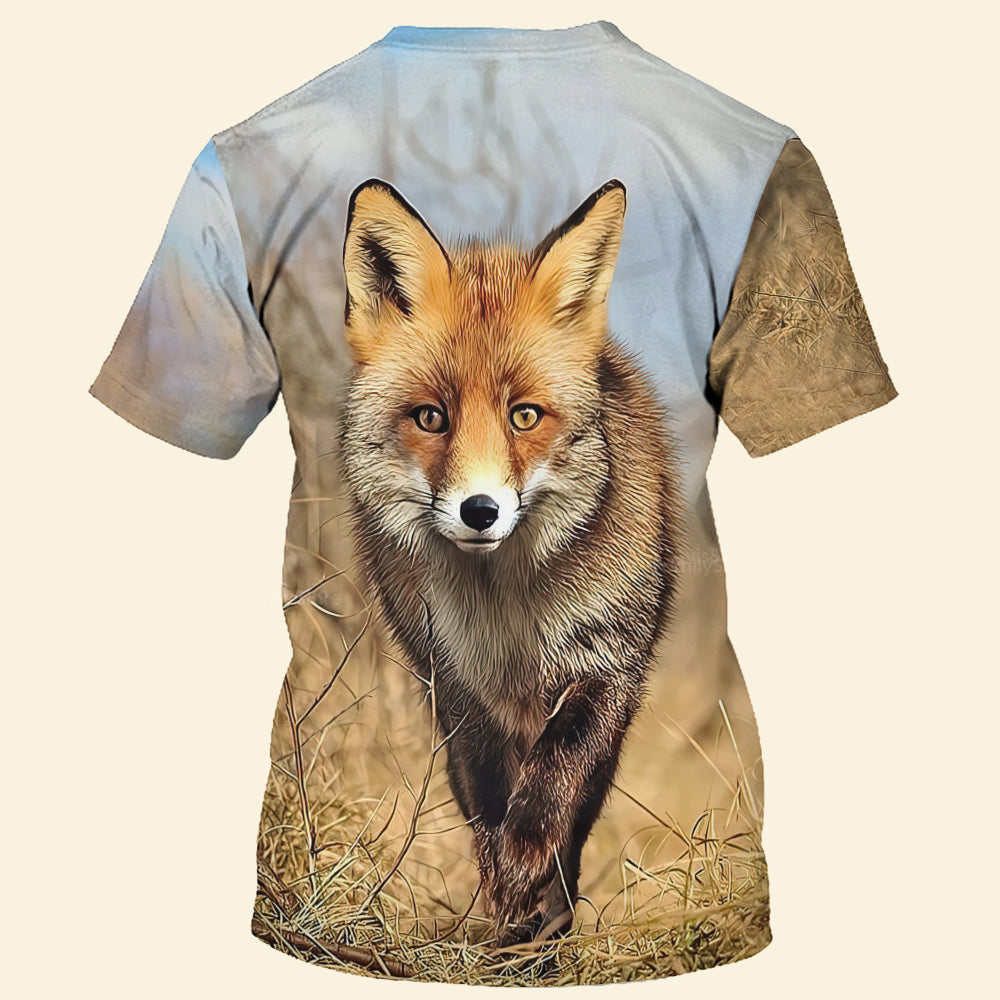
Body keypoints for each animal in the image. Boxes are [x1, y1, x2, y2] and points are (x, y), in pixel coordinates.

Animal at [337, 175, 687, 946]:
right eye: (431, 417)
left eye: (524, 416)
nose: (480, 511)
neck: (507, 619)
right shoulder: (458, 687)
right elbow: (489, 804)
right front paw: (506, 897)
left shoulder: (605, 666)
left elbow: (555, 777)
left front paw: (529, 862)